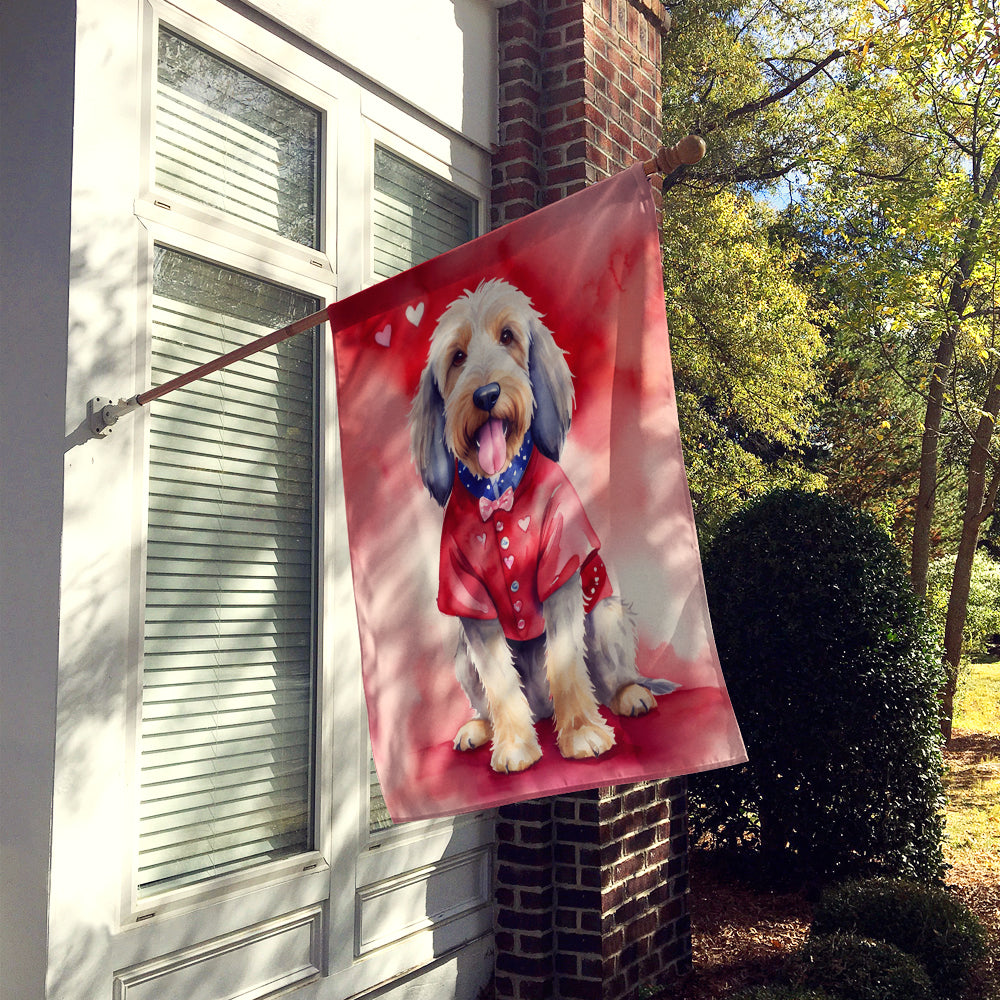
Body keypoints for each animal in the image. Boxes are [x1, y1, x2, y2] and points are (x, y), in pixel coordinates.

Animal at [408, 278, 680, 776]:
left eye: (508, 337)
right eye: (457, 356)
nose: (486, 394)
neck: (499, 495)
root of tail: (543, 709)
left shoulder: (562, 570)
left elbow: (567, 664)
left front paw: (583, 734)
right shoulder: (470, 604)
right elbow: (499, 682)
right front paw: (515, 746)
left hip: (607, 615)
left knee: (609, 680)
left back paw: (630, 696)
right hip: (460, 657)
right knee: (497, 698)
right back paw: (482, 729)